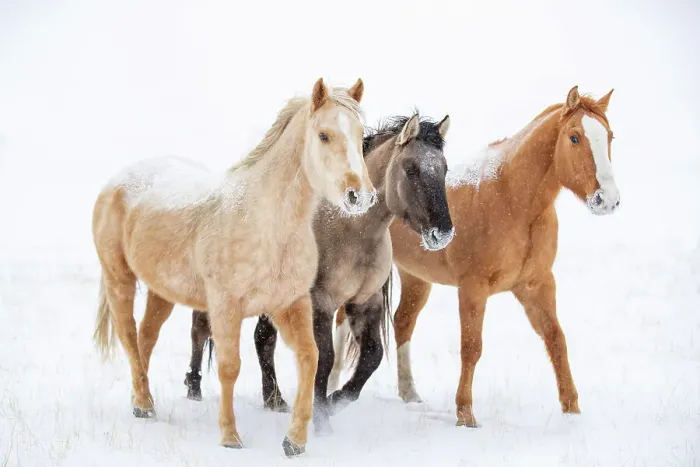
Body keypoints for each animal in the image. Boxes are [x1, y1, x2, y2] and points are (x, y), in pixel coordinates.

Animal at [91, 78, 375, 457]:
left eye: (360, 135)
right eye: (324, 135)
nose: (360, 196)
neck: (264, 223)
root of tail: (119, 179)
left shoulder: (291, 304)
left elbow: (309, 359)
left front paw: (294, 441)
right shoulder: (226, 307)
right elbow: (230, 367)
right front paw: (230, 437)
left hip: (161, 291)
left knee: (144, 338)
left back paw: (142, 401)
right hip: (118, 278)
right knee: (127, 334)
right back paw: (144, 405)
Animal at [184, 112, 455, 434]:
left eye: (444, 169)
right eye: (411, 169)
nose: (442, 232)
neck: (349, 229)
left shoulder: (366, 302)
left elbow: (372, 356)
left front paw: (337, 399)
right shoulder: (320, 304)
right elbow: (324, 359)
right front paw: (322, 417)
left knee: (262, 339)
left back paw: (275, 399)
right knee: (201, 327)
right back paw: (193, 388)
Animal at [332, 86, 619, 428]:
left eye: (610, 136)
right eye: (574, 137)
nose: (607, 200)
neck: (512, 198)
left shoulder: (536, 285)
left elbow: (556, 339)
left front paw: (572, 411)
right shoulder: (473, 289)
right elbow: (471, 347)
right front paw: (466, 415)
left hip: (416, 278)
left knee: (403, 322)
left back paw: (410, 394)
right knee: (341, 322)